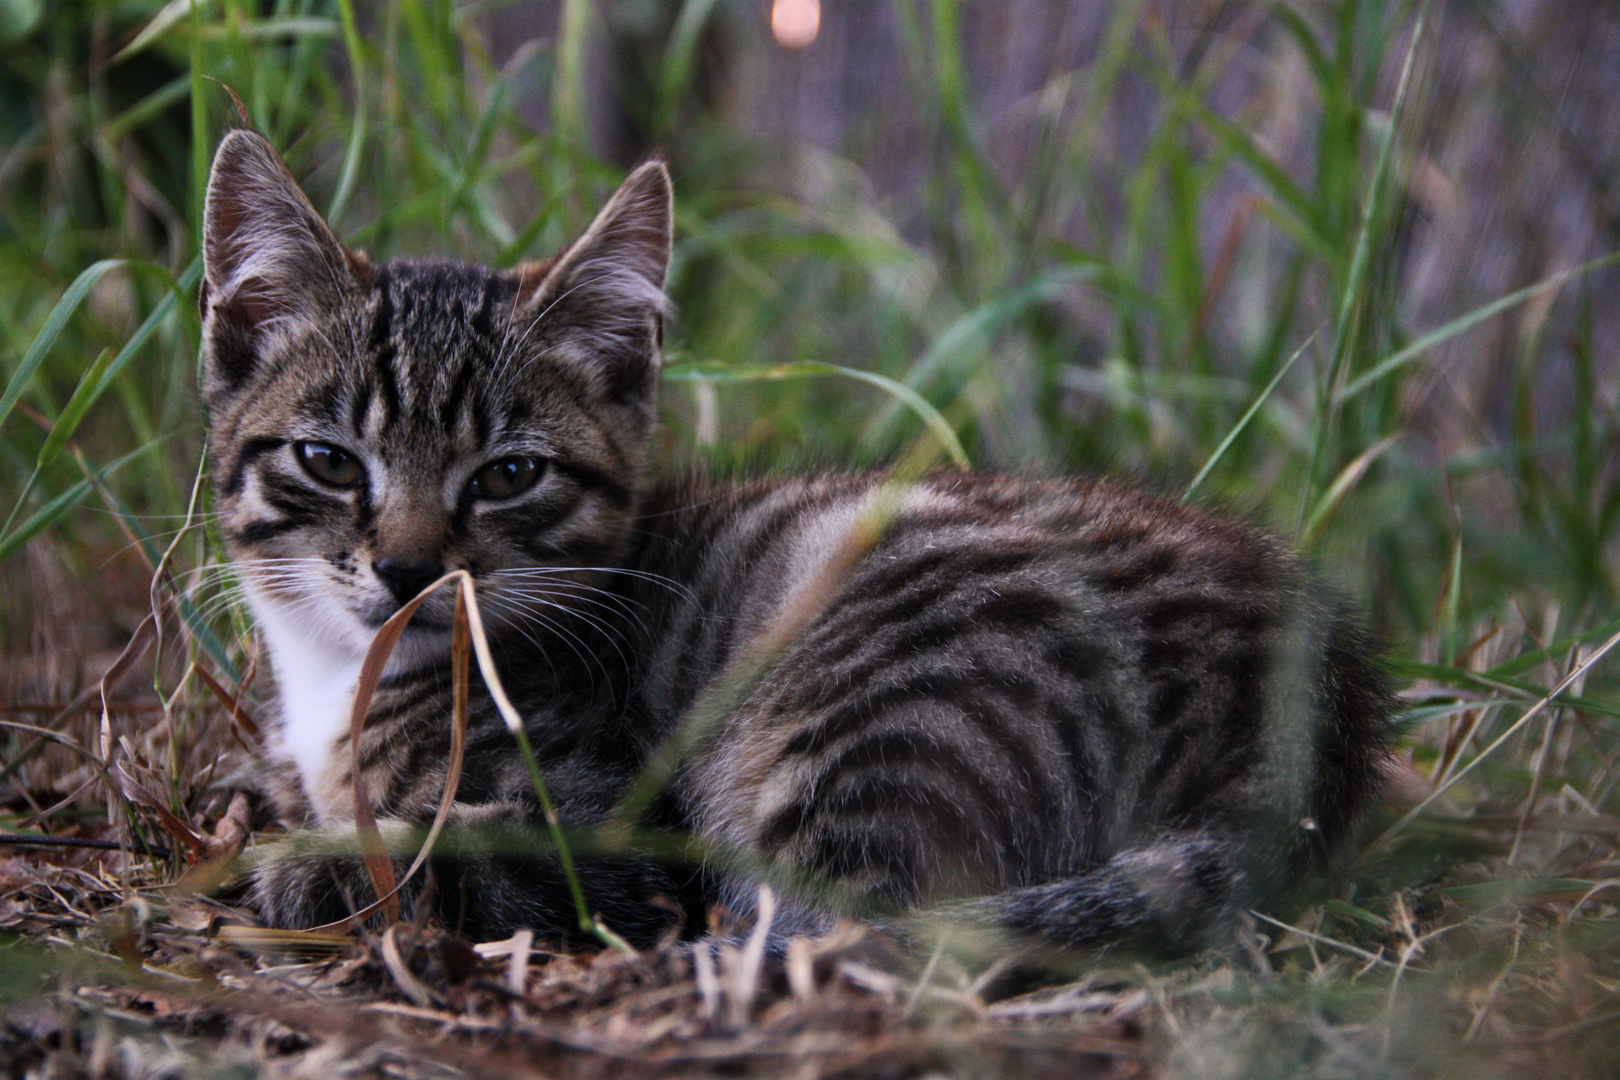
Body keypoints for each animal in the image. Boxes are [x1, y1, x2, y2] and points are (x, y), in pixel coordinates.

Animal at [202, 128, 1393, 952]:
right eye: (329, 462)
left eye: (508, 476)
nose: (408, 569)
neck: (340, 678)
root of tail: (1313, 718)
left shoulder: (609, 828)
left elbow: (451, 855)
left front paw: (305, 866)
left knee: (841, 924)